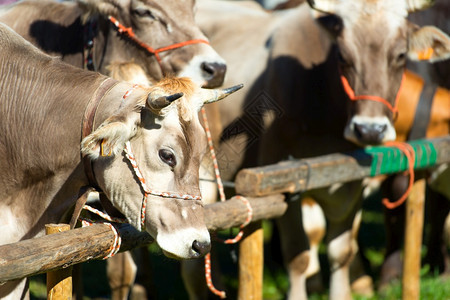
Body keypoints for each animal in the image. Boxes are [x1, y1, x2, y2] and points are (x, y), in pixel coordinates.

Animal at [194, 1, 450, 298]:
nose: (370, 130)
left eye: (400, 55)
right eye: (342, 56)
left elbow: (342, 251)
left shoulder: (351, 184)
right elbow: (299, 256)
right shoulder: (284, 188)